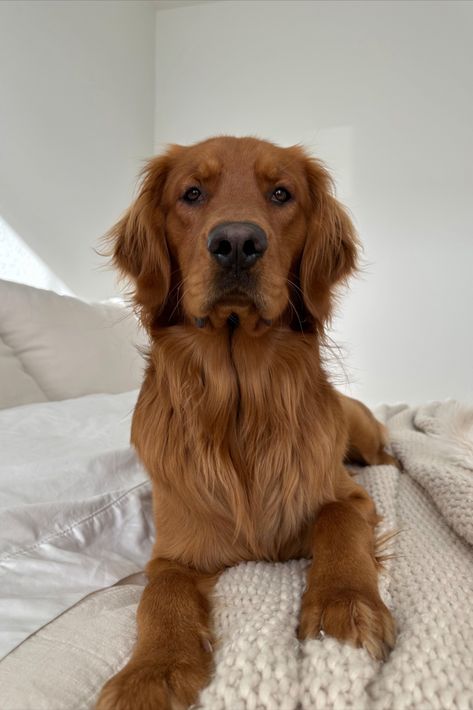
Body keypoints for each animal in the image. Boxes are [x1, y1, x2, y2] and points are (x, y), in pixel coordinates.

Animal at [97, 136, 396, 708]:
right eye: (191, 193)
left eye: (281, 193)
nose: (237, 242)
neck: (240, 405)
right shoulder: (174, 551)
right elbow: (159, 592)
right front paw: (150, 671)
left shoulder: (349, 496)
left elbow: (338, 522)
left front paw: (344, 604)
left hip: (366, 441)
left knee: (389, 456)